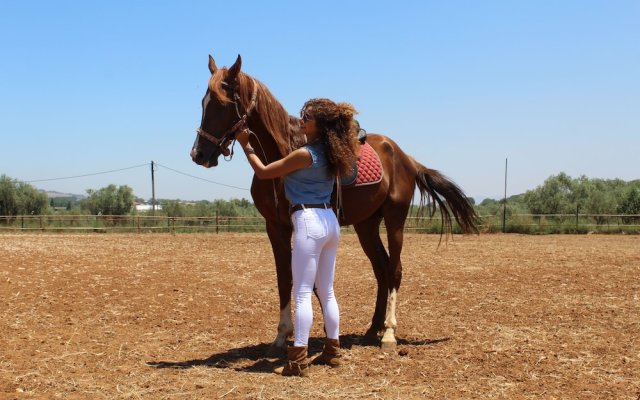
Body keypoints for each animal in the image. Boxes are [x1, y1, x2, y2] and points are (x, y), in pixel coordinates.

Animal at [188, 54, 478, 354]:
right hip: (366, 225)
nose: (199, 154)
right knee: (382, 270)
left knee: (395, 270)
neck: (281, 156)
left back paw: (388, 333)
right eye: (203, 102)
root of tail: (405, 157)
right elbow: (284, 278)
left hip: (395, 219)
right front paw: (282, 337)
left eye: (222, 104)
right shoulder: (275, 227)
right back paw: (371, 330)